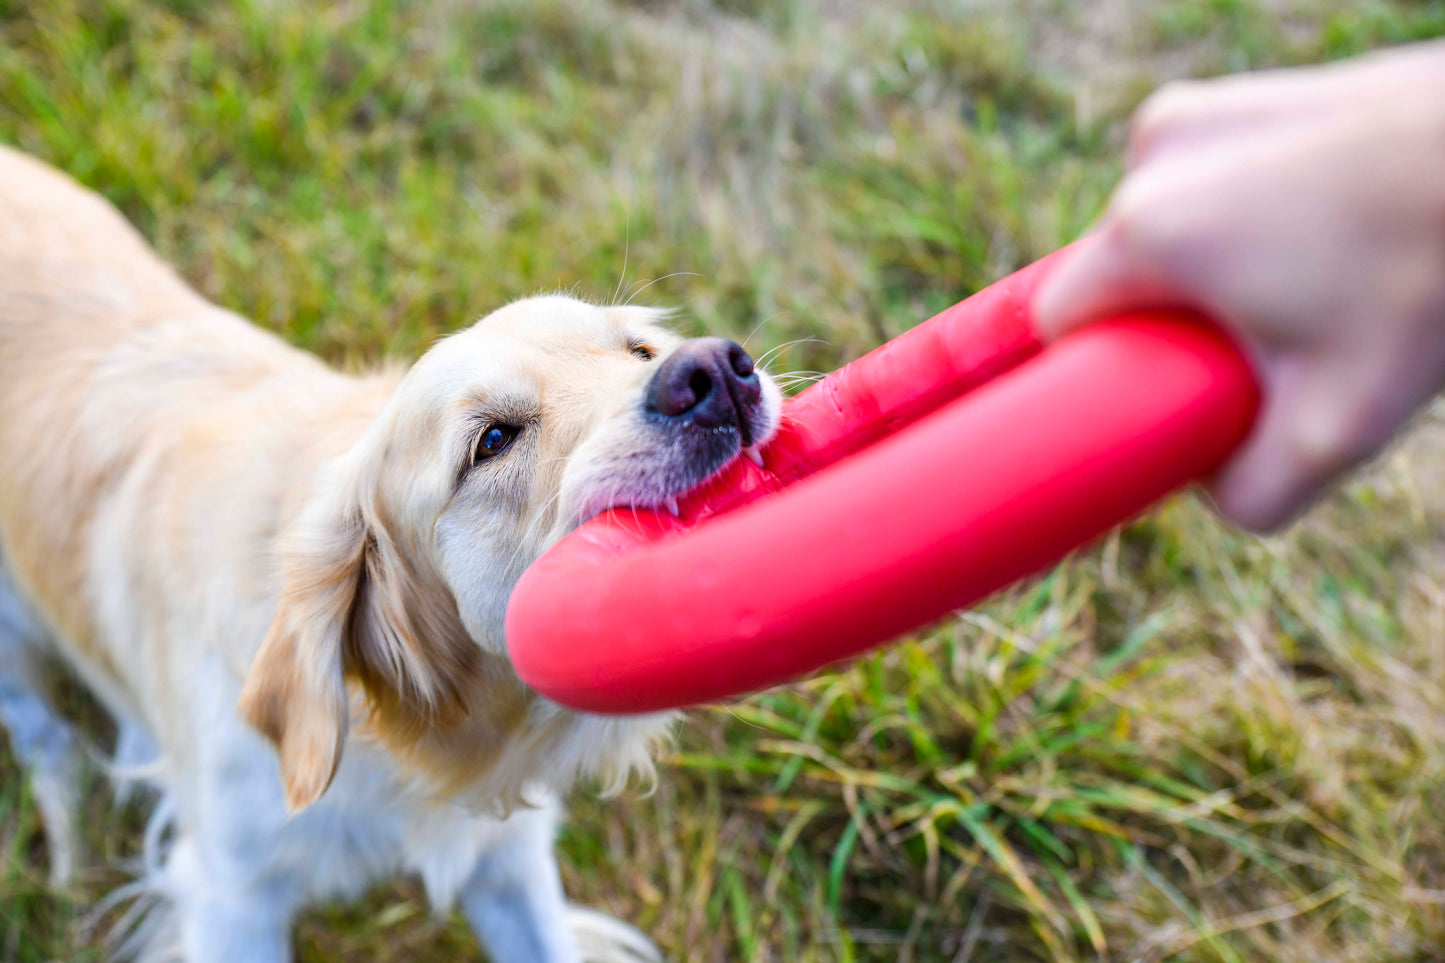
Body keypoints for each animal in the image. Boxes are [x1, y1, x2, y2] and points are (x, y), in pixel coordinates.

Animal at [0, 144, 780, 960]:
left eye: (639, 349)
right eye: (491, 440)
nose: (717, 371)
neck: (403, 733)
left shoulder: (506, 859)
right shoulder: (230, 896)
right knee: (34, 723)